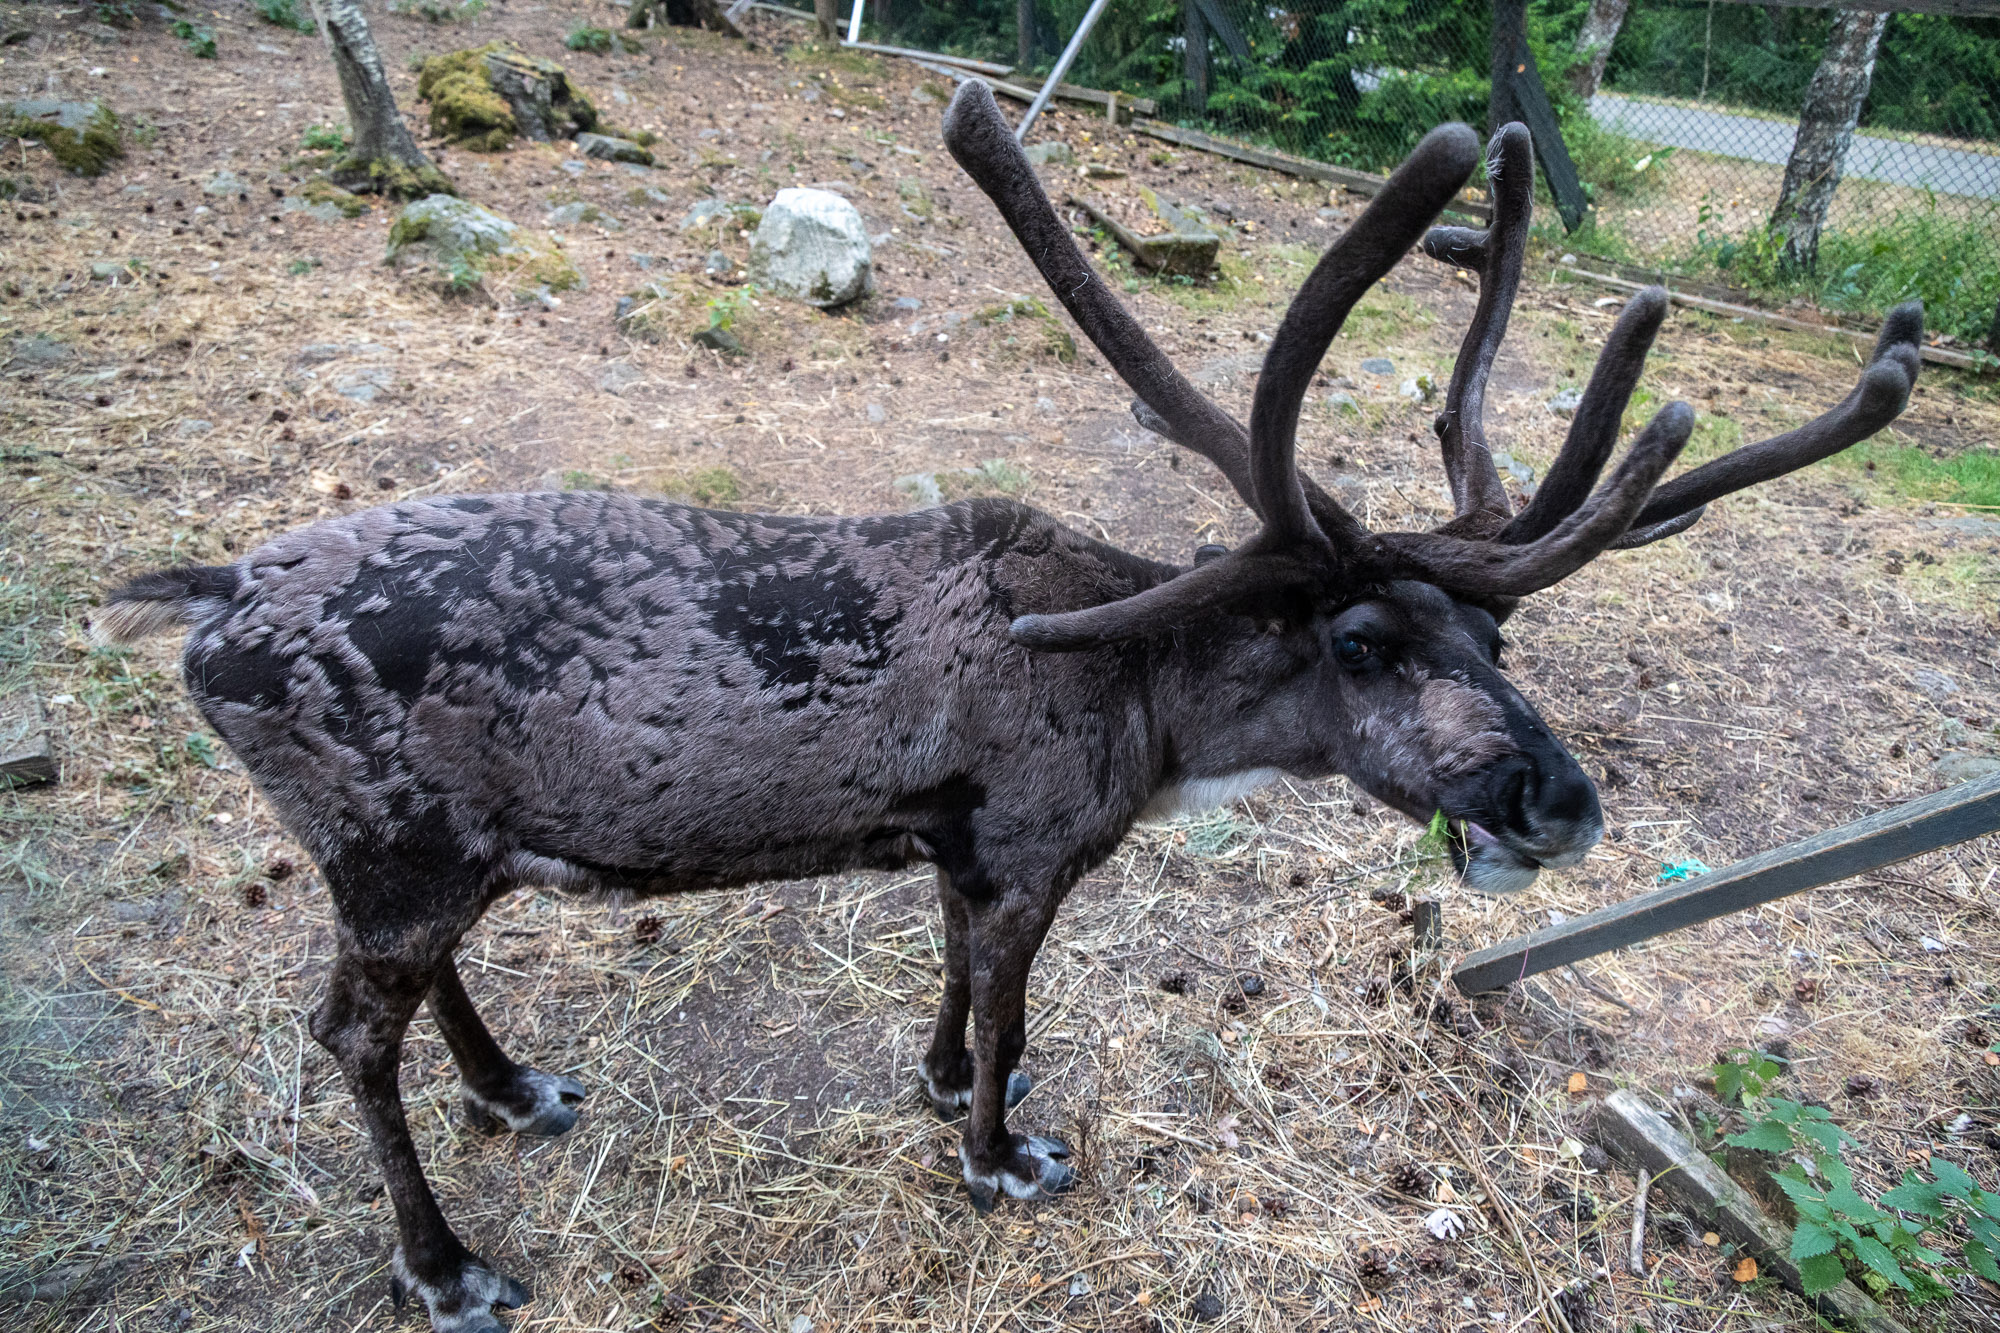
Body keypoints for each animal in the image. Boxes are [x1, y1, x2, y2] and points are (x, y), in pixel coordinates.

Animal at [93, 83, 1921, 1333]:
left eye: (1493, 623)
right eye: (1362, 640)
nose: (1564, 799)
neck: (1148, 708)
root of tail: (207, 600)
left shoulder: (958, 848)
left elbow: (965, 991)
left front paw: (942, 1081)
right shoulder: (1033, 843)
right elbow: (1014, 1005)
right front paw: (996, 1155)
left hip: (445, 849)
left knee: (420, 994)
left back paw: (516, 1087)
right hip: (390, 846)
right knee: (343, 1032)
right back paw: (447, 1263)